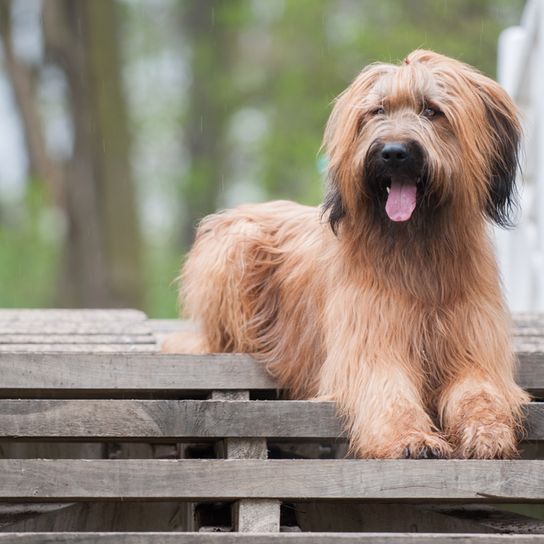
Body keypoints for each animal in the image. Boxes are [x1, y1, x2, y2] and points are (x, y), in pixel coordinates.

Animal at [165, 50, 528, 460]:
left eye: (432, 110)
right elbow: (387, 388)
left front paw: (488, 432)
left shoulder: (474, 346)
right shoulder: (369, 340)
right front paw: (411, 438)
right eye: (377, 111)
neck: (417, 247)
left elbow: (480, 391)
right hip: (235, 249)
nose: (393, 153)